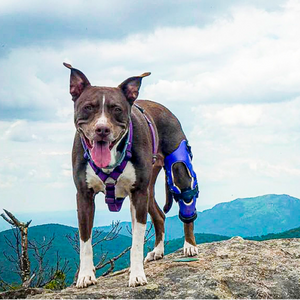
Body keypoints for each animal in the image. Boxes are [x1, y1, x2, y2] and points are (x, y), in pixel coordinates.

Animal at [63, 63, 199, 288]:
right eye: (88, 107)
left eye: (117, 109)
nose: (102, 129)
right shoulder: (84, 195)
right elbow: (85, 240)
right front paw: (86, 275)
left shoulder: (138, 194)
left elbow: (136, 242)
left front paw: (136, 275)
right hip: (149, 189)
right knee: (159, 215)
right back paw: (158, 251)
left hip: (177, 169)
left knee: (185, 198)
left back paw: (189, 245)